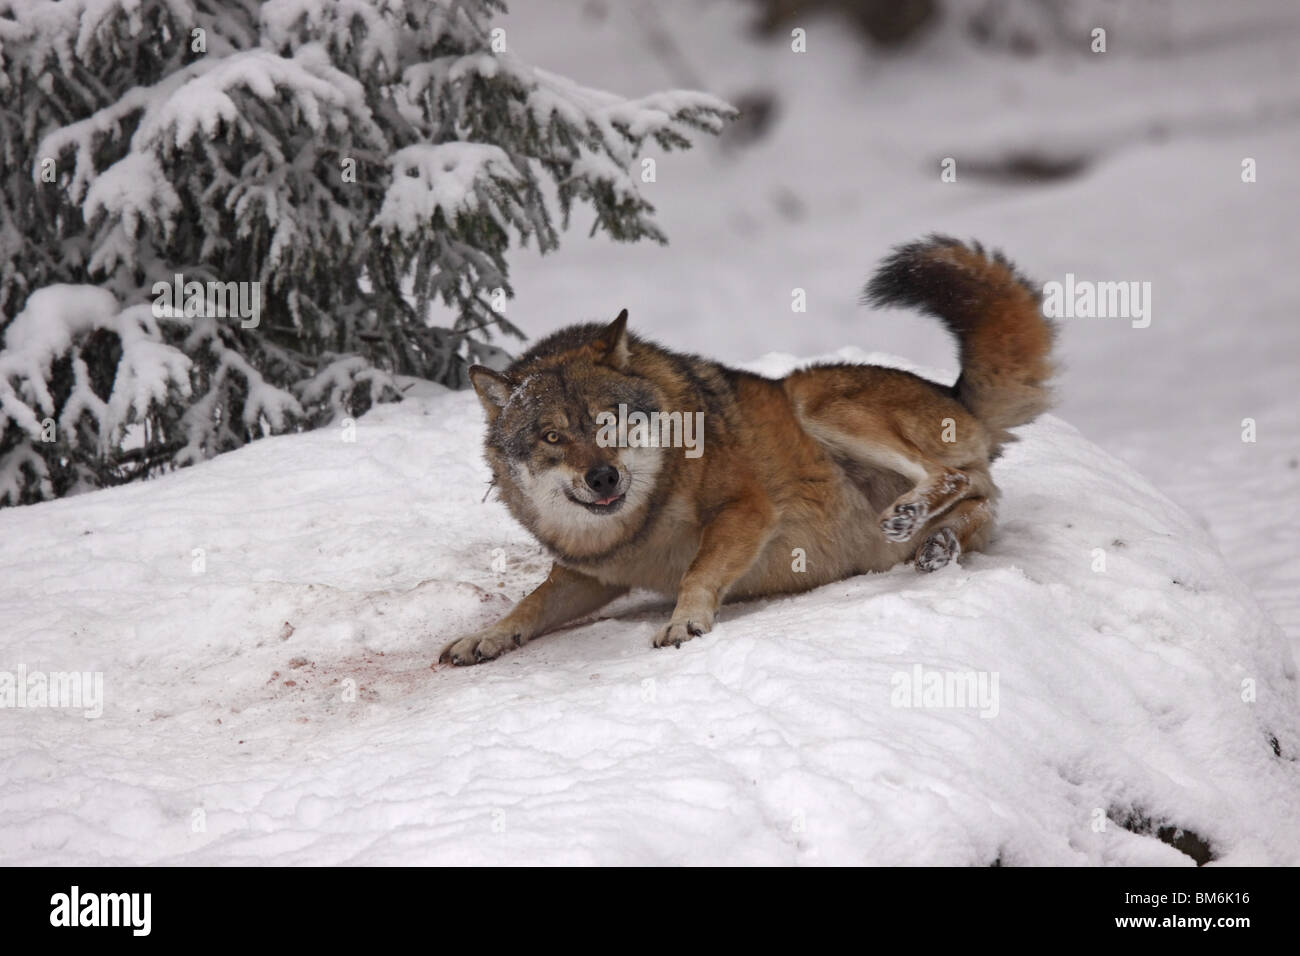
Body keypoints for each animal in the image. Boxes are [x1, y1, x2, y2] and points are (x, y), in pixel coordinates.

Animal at [441, 235, 1050, 665]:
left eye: (608, 421)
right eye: (552, 437)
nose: (603, 478)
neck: (640, 522)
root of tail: (955, 394)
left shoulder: (747, 508)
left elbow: (698, 571)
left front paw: (684, 622)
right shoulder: (588, 574)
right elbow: (530, 603)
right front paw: (483, 638)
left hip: (814, 400)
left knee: (954, 477)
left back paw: (913, 517)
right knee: (975, 502)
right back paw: (937, 545)